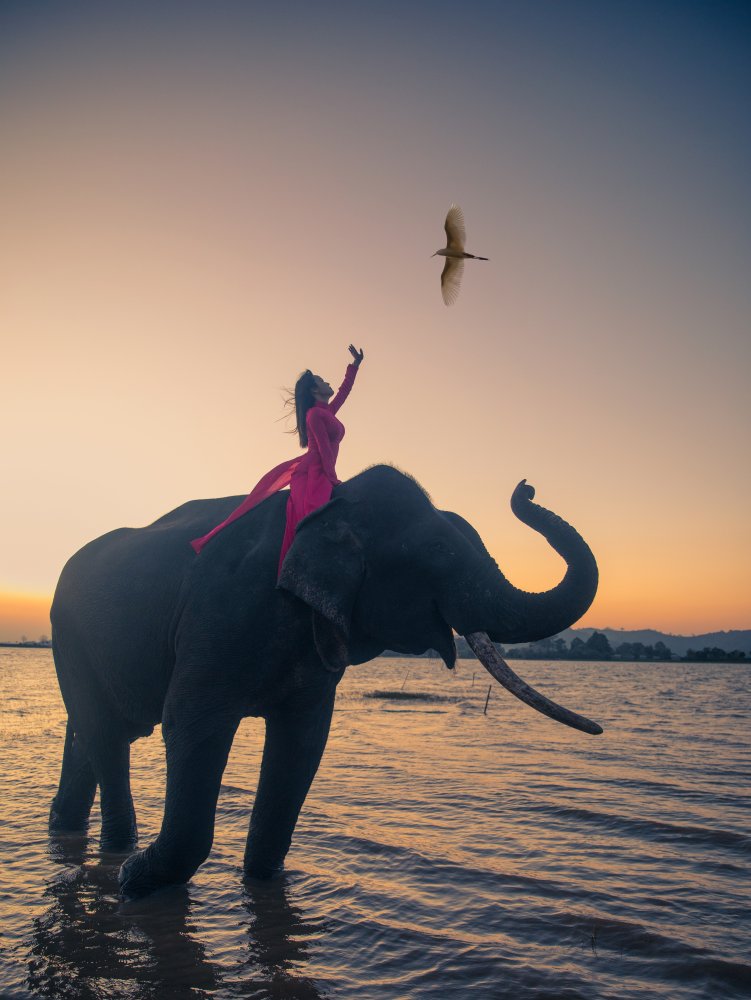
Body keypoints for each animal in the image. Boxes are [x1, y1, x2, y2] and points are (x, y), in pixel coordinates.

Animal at [48, 468, 600, 900]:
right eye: (440, 550)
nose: (526, 487)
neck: (331, 504)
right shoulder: (220, 612)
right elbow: (190, 721)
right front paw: (134, 880)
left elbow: (304, 742)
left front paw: (264, 879)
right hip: (67, 635)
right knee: (104, 734)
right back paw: (117, 856)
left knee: (89, 735)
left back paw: (71, 832)